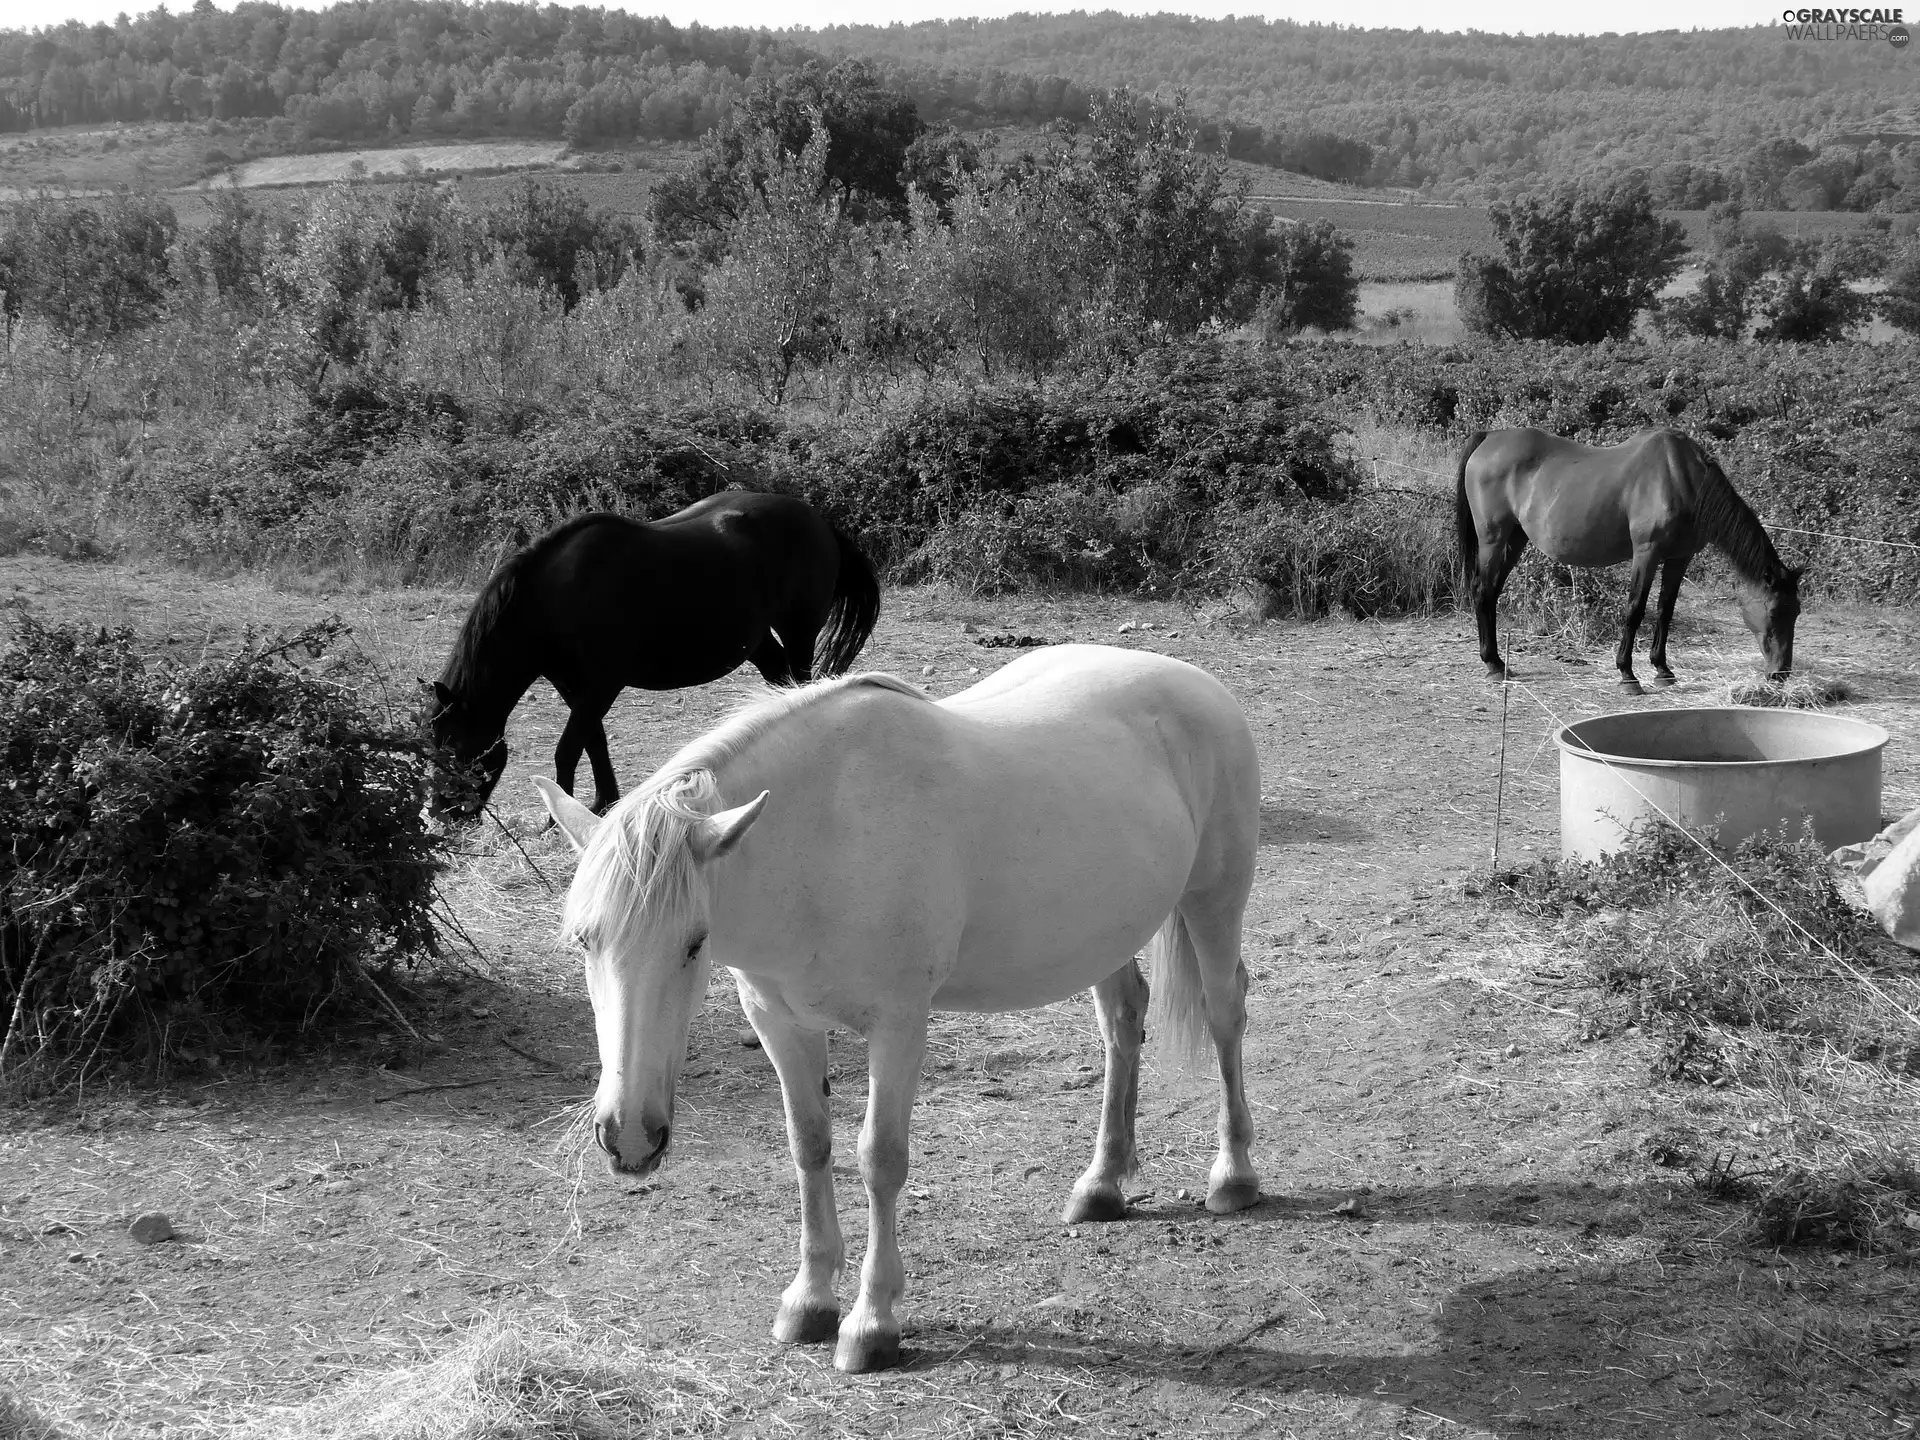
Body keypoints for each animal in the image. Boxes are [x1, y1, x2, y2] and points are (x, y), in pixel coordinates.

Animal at [424, 491, 879, 817]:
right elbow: (594, 742)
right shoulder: (574, 687)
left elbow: (568, 748)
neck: (552, 597)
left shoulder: (601, 685)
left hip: (799, 631)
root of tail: (818, 521)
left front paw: (556, 817)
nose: (445, 815)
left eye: (457, 748)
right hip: (758, 642)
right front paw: (602, 802)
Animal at [533, 645, 1267, 1374]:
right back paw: (1101, 1186)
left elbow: (879, 1159)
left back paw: (1233, 1176)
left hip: (1214, 902)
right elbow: (810, 1146)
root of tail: (1197, 684)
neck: (823, 837)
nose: (630, 1137)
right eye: (585, 940)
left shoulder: (899, 1026)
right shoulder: (780, 1024)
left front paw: (871, 1324)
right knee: (1122, 1022)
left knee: (1225, 1013)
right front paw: (808, 1302)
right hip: (1104, 934)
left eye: (693, 943)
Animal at [1451, 428, 1797, 695]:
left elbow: (1665, 610)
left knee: (1492, 593)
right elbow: (1635, 609)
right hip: (1493, 540)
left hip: (1515, 540)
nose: (1781, 673)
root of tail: (1490, 437)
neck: (1680, 478)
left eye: (1796, 612)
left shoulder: (1679, 557)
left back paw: (1497, 662)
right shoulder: (1647, 552)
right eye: (1775, 612)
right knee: (1483, 592)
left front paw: (1663, 670)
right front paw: (1627, 674)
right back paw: (1494, 665)